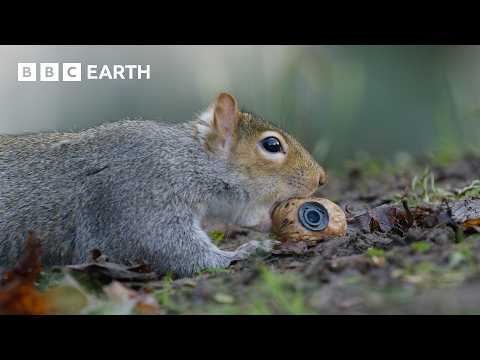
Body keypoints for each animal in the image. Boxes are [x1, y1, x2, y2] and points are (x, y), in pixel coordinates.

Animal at [0, 92, 326, 276]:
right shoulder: (139, 196)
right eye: (272, 145)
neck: (187, 160)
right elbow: (170, 249)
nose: (321, 178)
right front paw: (246, 251)